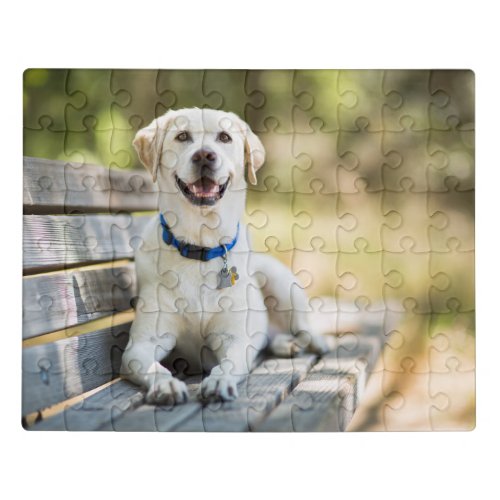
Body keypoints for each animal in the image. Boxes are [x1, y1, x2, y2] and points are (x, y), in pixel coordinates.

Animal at [122, 107, 328, 404]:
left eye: (224, 137)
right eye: (182, 136)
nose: (204, 155)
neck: (200, 247)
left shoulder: (235, 339)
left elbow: (229, 363)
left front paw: (219, 381)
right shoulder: (140, 345)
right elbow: (154, 367)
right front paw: (166, 385)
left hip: (280, 281)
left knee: (300, 325)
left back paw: (312, 342)